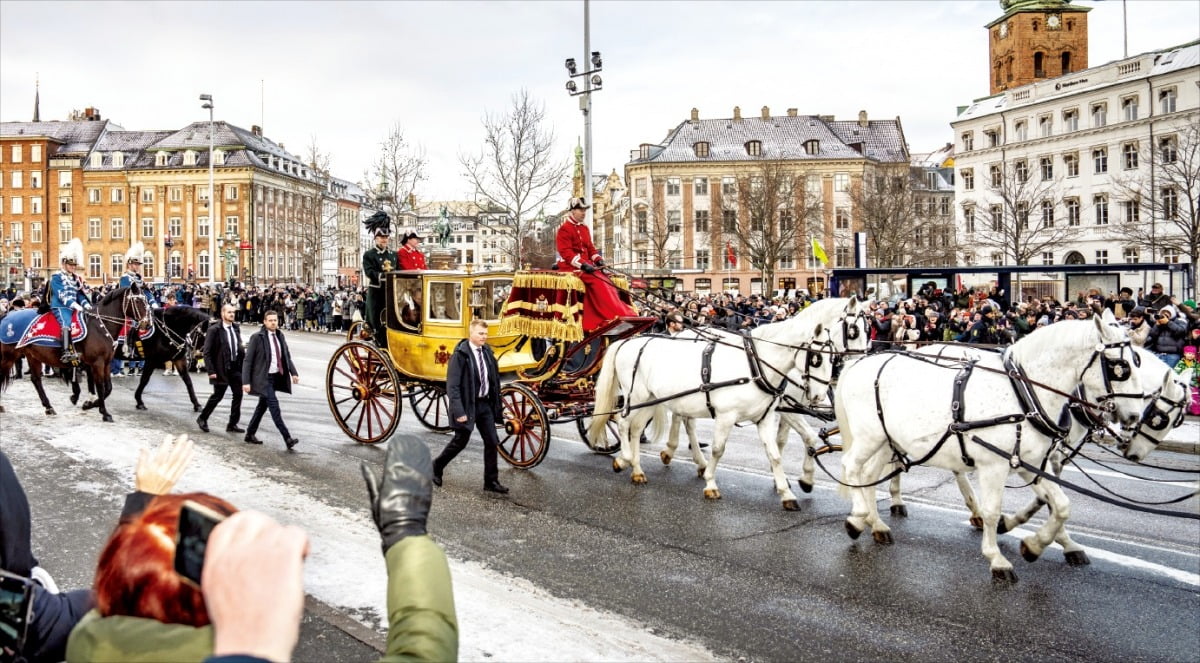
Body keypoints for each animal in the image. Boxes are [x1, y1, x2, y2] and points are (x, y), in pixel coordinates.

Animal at [0, 283, 150, 420]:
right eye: (138, 301)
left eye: (146, 301)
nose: (147, 324)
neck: (100, 326)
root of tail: (6, 317)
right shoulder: (97, 363)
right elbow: (100, 387)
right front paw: (104, 412)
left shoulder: (106, 363)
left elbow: (108, 388)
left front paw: (89, 404)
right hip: (8, 356)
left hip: (33, 356)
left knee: (36, 380)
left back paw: (49, 407)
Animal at [588, 297, 864, 509]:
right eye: (816, 358)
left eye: (831, 357)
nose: (818, 395)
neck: (757, 363)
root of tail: (626, 342)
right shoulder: (728, 416)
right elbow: (720, 449)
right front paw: (711, 483)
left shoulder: (768, 416)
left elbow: (776, 452)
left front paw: (787, 491)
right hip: (635, 397)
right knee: (623, 423)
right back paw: (626, 459)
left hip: (655, 399)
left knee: (642, 428)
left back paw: (639, 468)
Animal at [830, 309, 1147, 581]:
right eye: (1121, 367)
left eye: (1136, 362)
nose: (1134, 416)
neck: (1023, 392)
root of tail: (859, 362)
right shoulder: (993, 466)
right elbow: (993, 512)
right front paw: (997, 559)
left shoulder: (1032, 464)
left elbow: (1061, 505)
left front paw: (1035, 545)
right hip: (869, 437)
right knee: (851, 467)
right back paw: (858, 517)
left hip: (886, 440)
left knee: (869, 476)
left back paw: (875, 523)